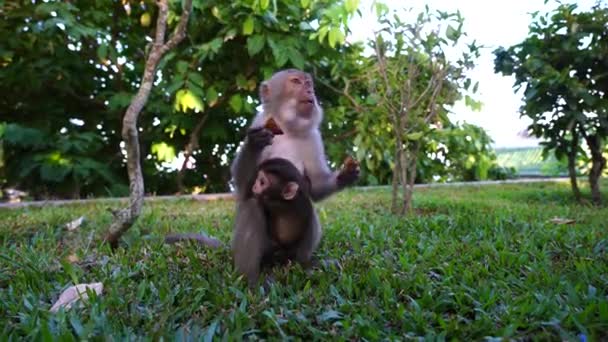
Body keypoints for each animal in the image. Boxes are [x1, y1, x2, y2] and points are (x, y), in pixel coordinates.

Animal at [230, 68, 358, 288]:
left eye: (309, 83)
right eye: (296, 81)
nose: (309, 90)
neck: (286, 129)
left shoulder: (313, 137)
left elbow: (314, 188)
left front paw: (346, 175)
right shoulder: (259, 123)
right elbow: (244, 189)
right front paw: (255, 143)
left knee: (308, 208)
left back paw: (305, 264)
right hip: (268, 248)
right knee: (252, 207)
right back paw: (250, 280)